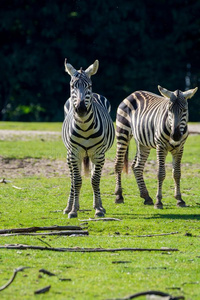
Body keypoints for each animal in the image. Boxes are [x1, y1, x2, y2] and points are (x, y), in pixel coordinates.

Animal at [61, 58, 115, 218]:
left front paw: (98, 209)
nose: (81, 109)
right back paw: (69, 206)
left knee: (93, 176)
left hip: (96, 155)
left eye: (89, 86)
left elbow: (95, 180)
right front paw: (73, 210)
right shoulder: (74, 153)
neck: (84, 127)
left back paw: (99, 205)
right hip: (70, 154)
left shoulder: (99, 154)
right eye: (72, 86)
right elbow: (77, 180)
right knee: (72, 178)